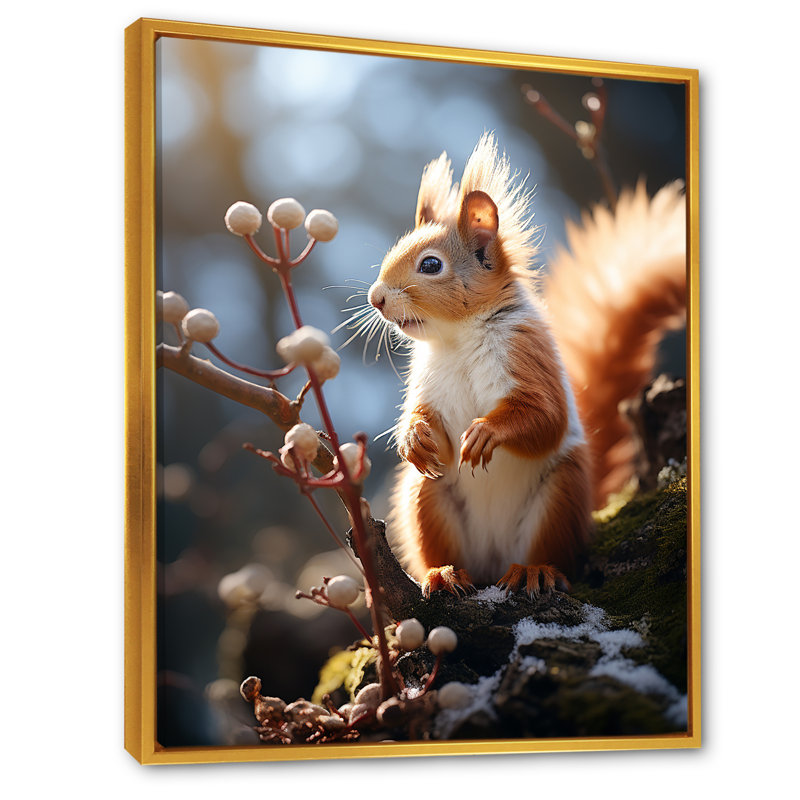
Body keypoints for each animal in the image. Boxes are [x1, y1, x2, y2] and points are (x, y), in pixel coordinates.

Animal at [365, 133, 686, 598]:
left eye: (430, 264)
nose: (376, 298)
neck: (457, 338)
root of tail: (495, 560)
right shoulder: (426, 383)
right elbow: (421, 415)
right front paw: (412, 438)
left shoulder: (527, 354)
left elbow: (545, 416)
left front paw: (487, 431)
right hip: (426, 497)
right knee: (442, 544)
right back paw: (443, 574)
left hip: (558, 497)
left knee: (549, 553)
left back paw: (532, 571)